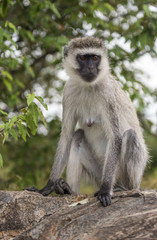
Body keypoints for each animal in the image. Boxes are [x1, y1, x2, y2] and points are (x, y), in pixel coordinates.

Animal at [25, 36, 148, 207]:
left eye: (95, 58)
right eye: (83, 58)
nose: (90, 68)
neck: (88, 86)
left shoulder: (107, 92)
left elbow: (115, 137)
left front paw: (105, 190)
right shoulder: (68, 91)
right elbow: (67, 137)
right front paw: (47, 187)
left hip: (125, 177)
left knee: (130, 136)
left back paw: (122, 189)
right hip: (97, 173)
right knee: (77, 137)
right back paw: (70, 191)